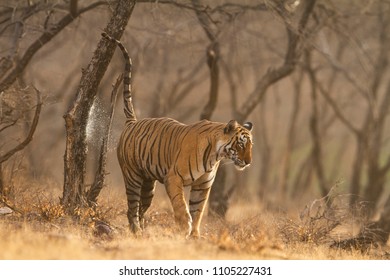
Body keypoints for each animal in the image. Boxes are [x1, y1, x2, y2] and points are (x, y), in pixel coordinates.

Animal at [100, 32, 253, 238]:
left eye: (250, 146)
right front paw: (184, 226)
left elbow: (198, 210)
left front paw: (194, 235)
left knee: (141, 208)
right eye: (241, 144)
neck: (216, 155)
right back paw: (137, 232)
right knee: (131, 208)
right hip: (132, 176)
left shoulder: (203, 185)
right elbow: (181, 205)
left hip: (148, 185)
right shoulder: (173, 177)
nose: (248, 162)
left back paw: (143, 231)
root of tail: (132, 121)